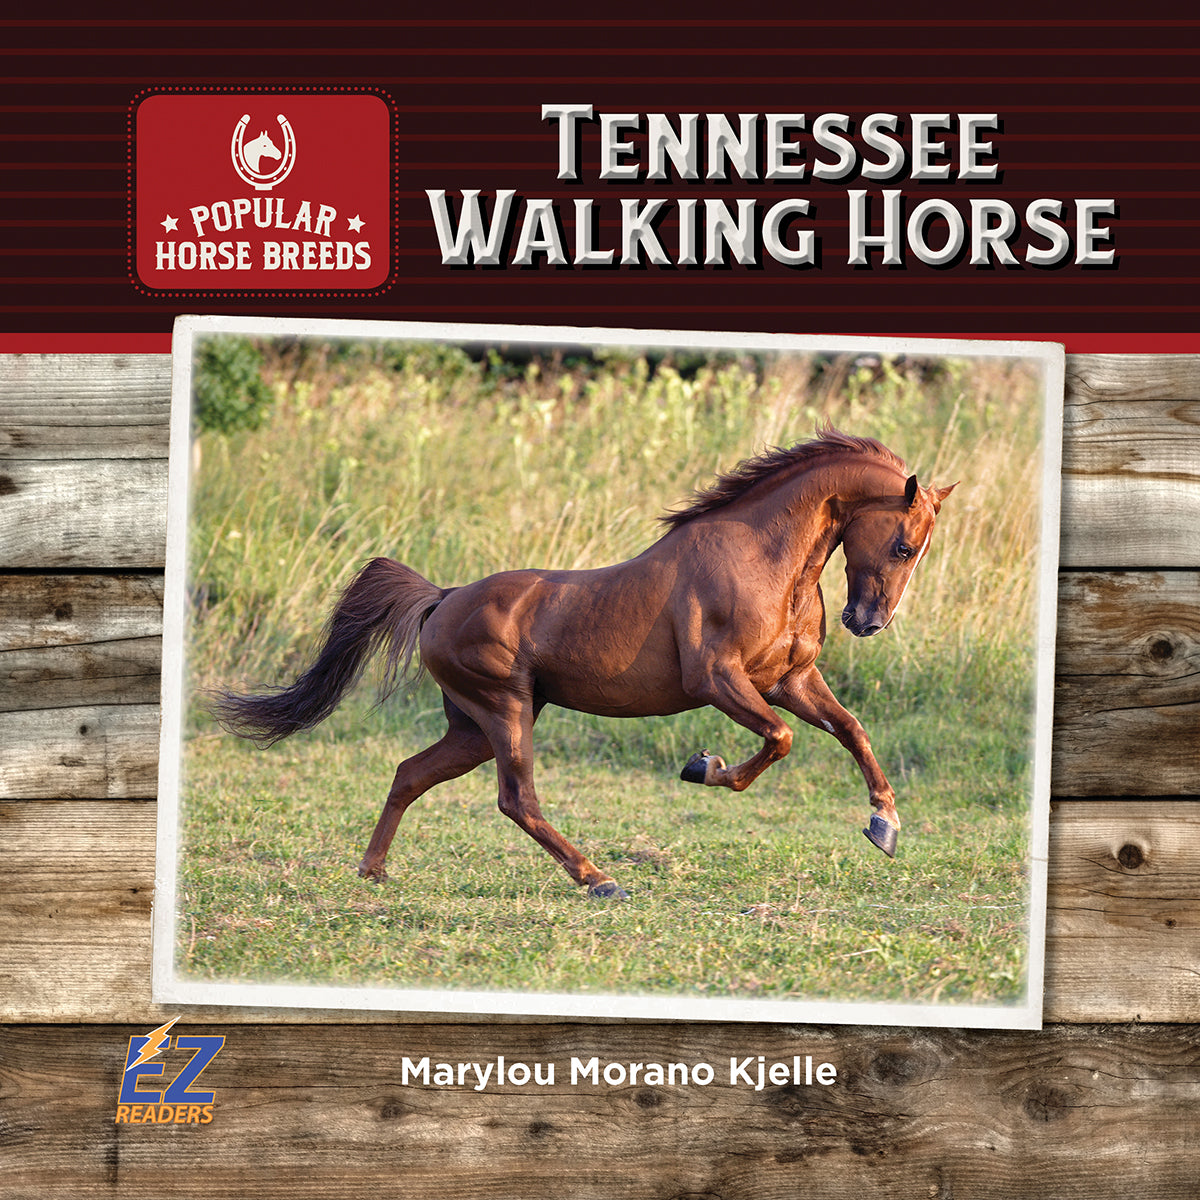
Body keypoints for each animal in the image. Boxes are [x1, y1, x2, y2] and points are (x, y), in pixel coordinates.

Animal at [212, 428, 955, 899]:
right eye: (903, 544)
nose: (868, 622)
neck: (766, 560)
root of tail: (442, 599)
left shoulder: (790, 679)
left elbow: (850, 729)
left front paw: (885, 825)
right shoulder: (718, 680)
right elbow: (781, 739)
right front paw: (702, 767)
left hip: (473, 726)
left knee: (410, 774)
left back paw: (373, 873)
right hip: (504, 710)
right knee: (516, 798)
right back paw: (599, 880)